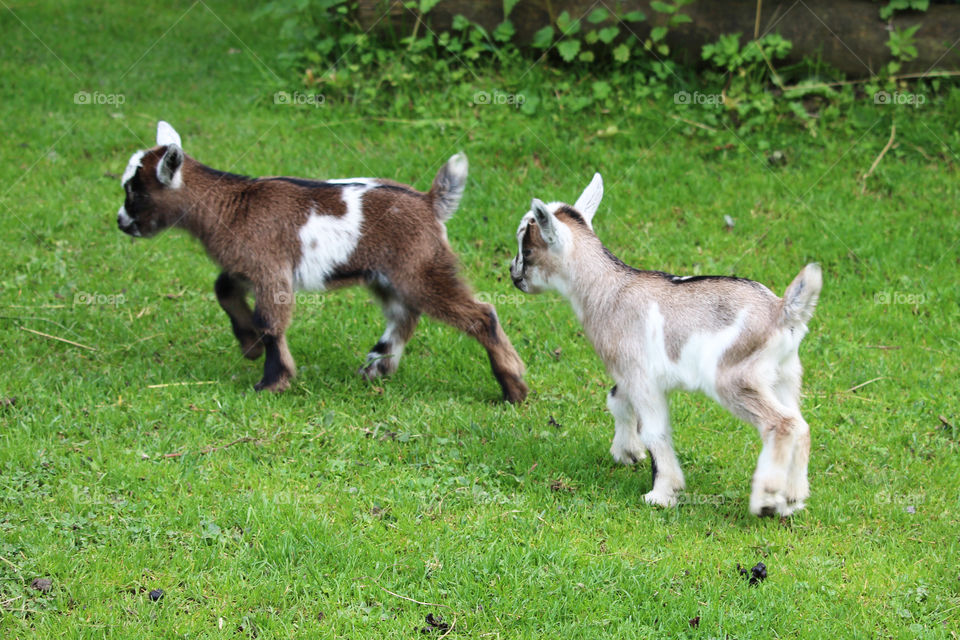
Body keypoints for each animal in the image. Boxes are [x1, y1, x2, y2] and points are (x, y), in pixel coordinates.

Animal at [117, 121, 527, 402]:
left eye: (135, 190)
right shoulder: (248, 267)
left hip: (420, 269)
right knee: (404, 315)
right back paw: (377, 367)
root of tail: (429, 203)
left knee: (480, 315)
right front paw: (249, 345)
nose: (121, 223)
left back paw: (513, 389)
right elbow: (223, 290)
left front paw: (272, 381)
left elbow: (270, 322)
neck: (231, 205)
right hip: (386, 274)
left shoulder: (271, 270)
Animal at [509, 174, 821, 516]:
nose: (514, 276)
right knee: (801, 425)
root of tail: (782, 311)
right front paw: (627, 452)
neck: (608, 290)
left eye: (527, 248)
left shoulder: (641, 376)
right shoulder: (629, 373)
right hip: (785, 376)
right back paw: (792, 498)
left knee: (784, 423)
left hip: (734, 378)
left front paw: (662, 493)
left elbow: (655, 431)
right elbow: (616, 399)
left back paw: (766, 498)